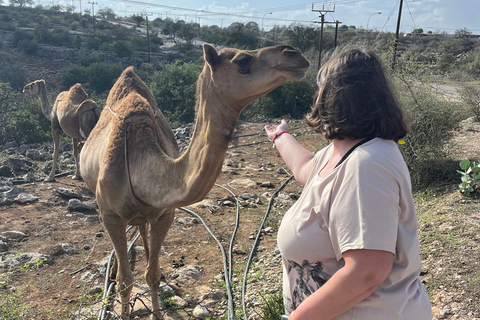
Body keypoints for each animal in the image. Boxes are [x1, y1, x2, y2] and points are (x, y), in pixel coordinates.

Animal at [80, 43, 310, 318]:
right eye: (243, 60)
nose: (294, 54)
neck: (138, 163)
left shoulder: (165, 213)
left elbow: (152, 275)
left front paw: (158, 308)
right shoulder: (111, 215)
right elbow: (126, 281)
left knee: (142, 230)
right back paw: (114, 271)